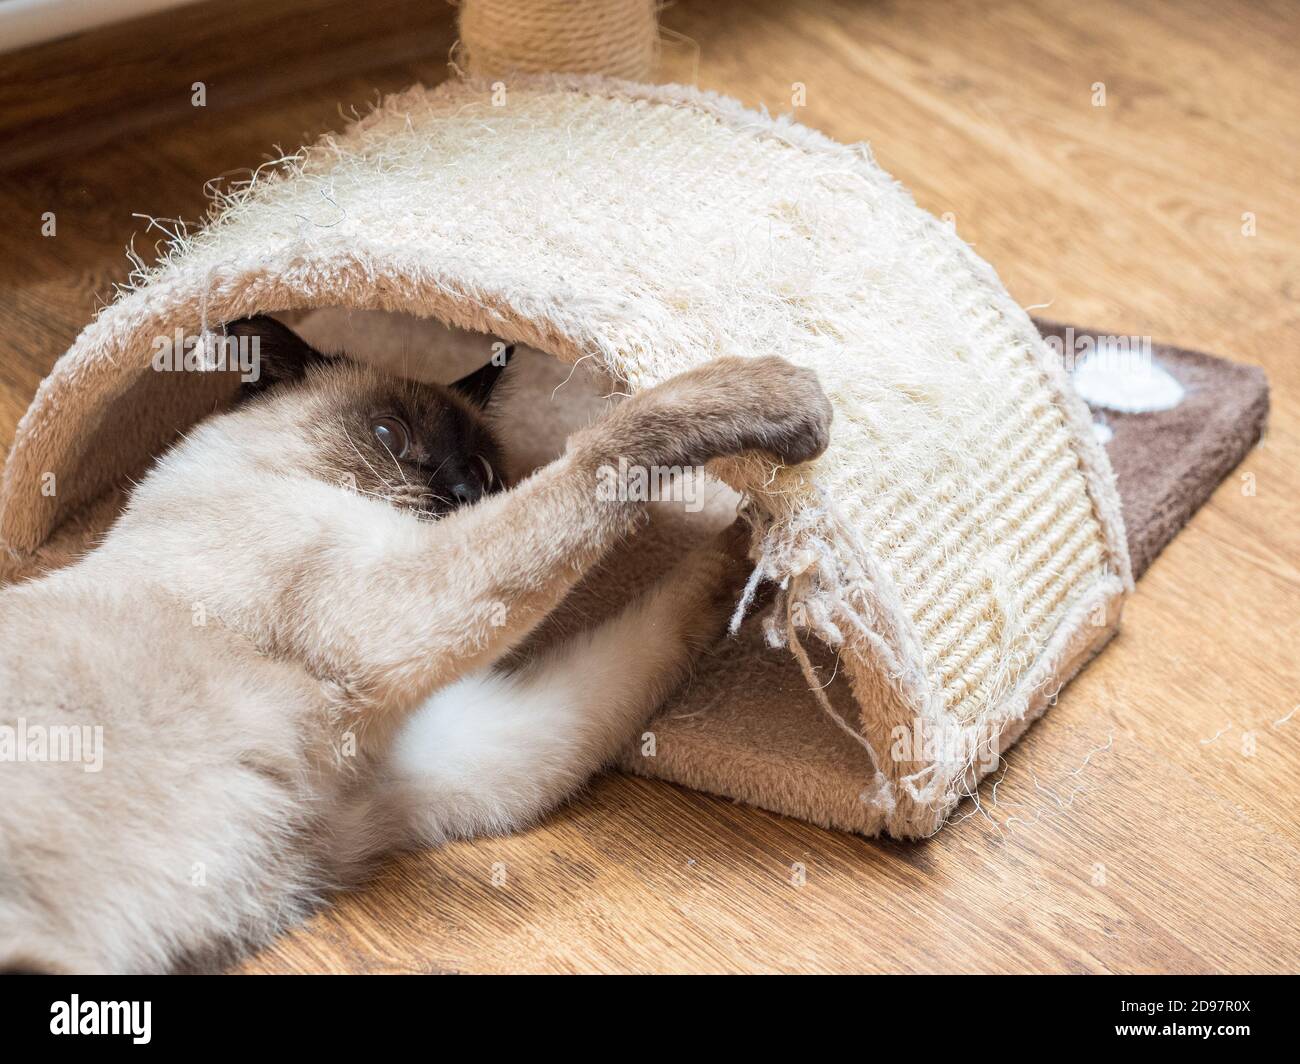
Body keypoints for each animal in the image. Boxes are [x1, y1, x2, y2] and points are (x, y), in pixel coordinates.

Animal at [0, 314, 832, 967]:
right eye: (388, 435)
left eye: (487, 469)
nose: (464, 494)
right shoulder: (397, 609)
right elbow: (603, 453)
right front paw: (782, 404)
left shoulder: (464, 753)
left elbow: (670, 610)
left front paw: (770, 543)